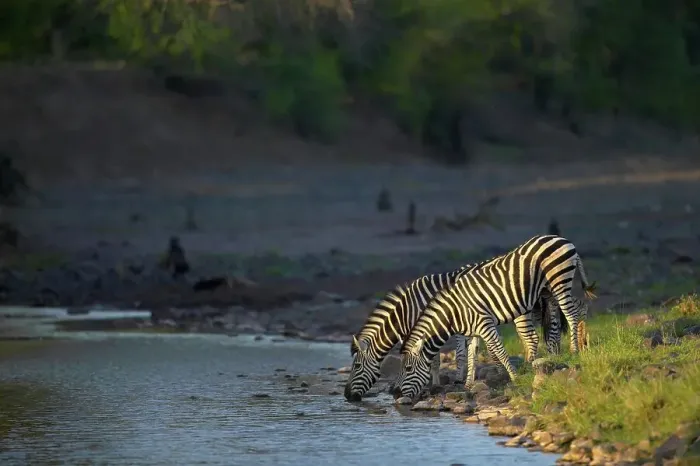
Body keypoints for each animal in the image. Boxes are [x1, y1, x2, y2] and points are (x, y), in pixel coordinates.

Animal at [343, 261, 560, 402]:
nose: (347, 396)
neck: (408, 309)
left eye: (356, 366)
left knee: (532, 337)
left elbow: (434, 360)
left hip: (520, 311)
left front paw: (433, 384)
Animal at [393, 234, 596, 401]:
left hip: (558, 280)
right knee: (565, 316)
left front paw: (514, 377)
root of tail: (561, 238)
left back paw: (575, 349)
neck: (454, 312)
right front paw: (468, 383)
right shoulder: (473, 329)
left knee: (571, 313)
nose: (397, 395)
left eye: (408, 369)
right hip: (549, 290)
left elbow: (499, 351)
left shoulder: (484, 323)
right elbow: (471, 354)